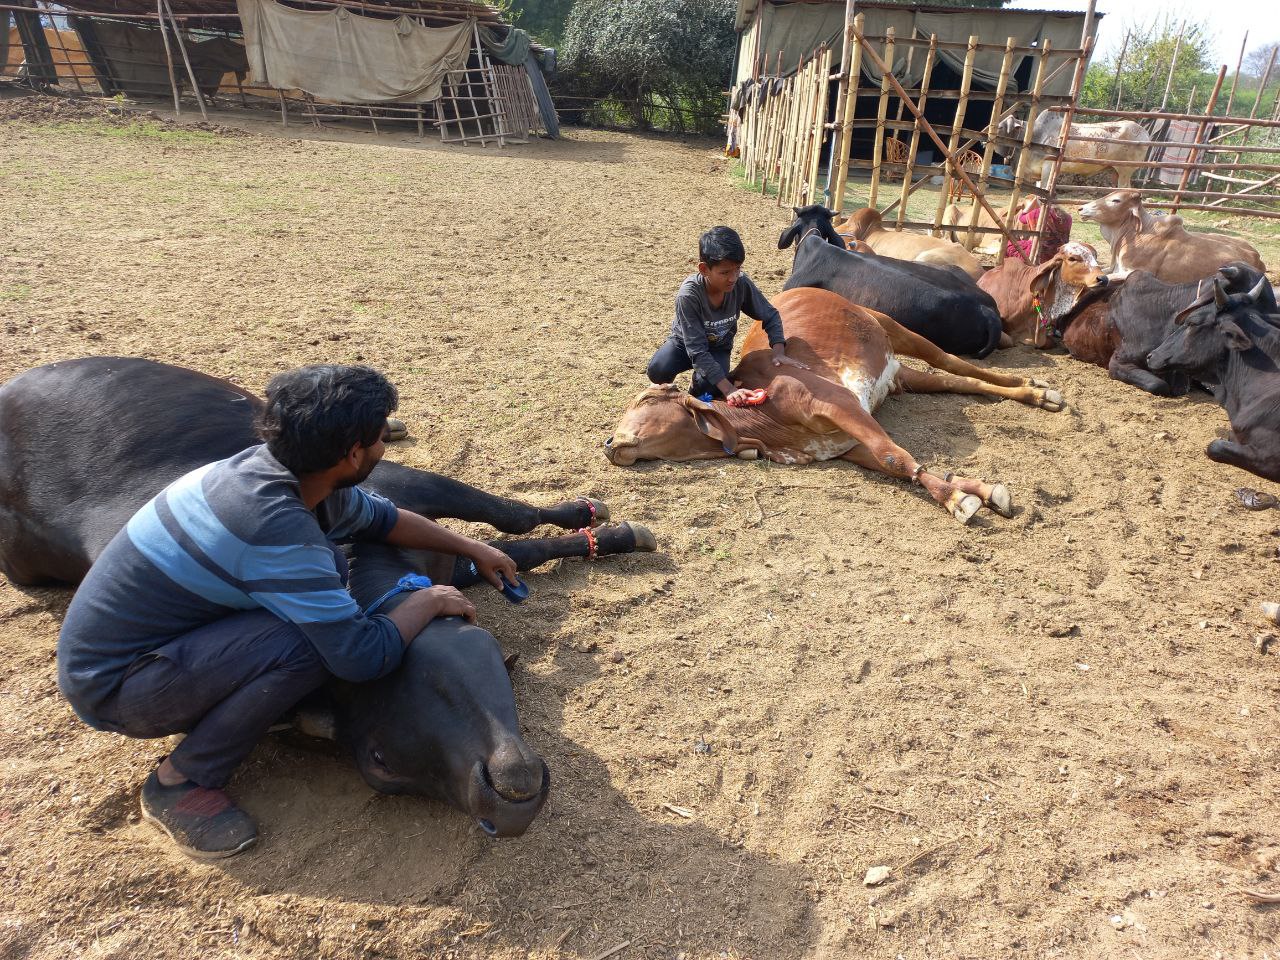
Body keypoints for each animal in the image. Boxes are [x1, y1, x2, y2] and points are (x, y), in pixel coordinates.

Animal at [605, 288, 1066, 525]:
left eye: (644, 399)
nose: (609, 443)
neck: (764, 420)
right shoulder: (846, 443)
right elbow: (898, 461)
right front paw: (977, 490)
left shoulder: (842, 406)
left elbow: (895, 456)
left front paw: (958, 500)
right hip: (898, 376)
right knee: (961, 381)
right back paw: (1033, 393)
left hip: (895, 328)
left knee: (954, 362)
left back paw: (1038, 389)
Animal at [1079, 190, 1267, 282]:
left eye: (1116, 200)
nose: (1081, 208)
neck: (1134, 234)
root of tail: (1257, 257)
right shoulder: (1115, 268)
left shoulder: (1133, 272)